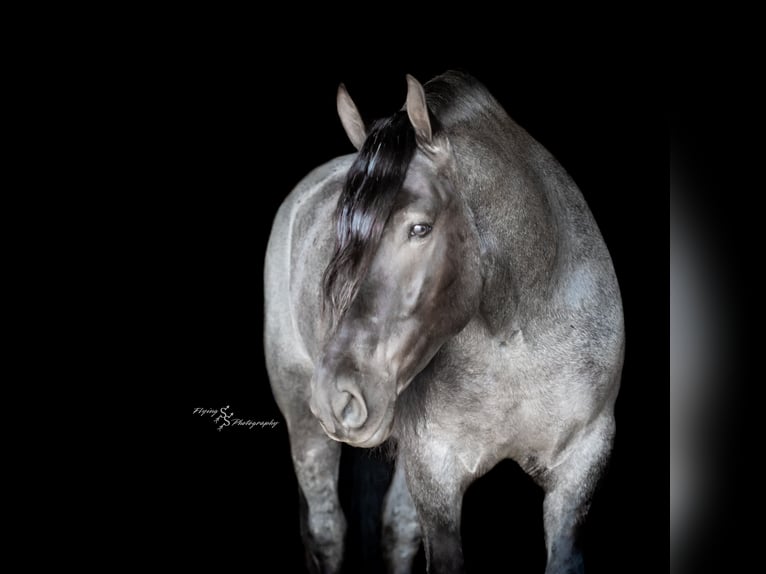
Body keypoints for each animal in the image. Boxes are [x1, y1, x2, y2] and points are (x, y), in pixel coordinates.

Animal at [264, 71, 624, 574]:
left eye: (420, 228)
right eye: (341, 234)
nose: (337, 396)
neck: (517, 339)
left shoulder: (580, 467)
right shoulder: (436, 473)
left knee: (396, 529)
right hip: (304, 422)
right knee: (327, 529)